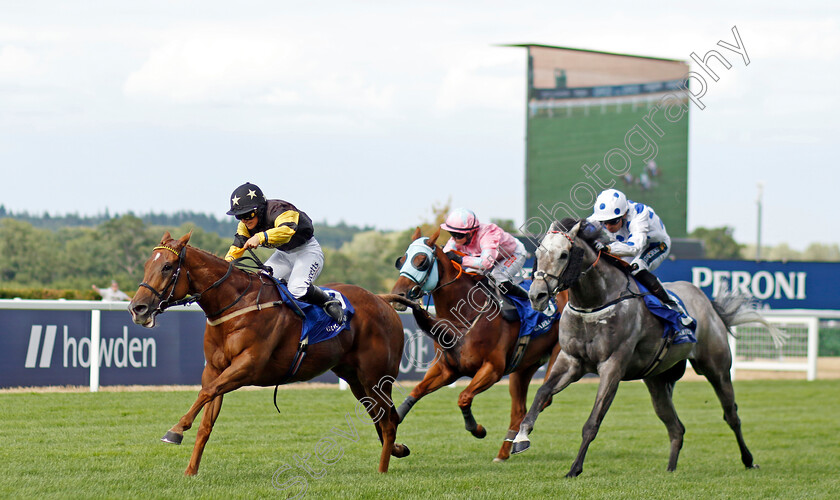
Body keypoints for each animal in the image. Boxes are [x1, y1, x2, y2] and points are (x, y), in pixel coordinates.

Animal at [127, 233, 410, 476]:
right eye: (146, 265)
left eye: (167, 266)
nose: (137, 308)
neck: (235, 305)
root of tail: (381, 300)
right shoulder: (215, 370)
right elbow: (206, 420)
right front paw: (190, 471)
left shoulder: (247, 367)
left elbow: (205, 393)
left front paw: (175, 430)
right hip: (355, 379)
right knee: (383, 417)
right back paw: (397, 450)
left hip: (376, 376)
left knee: (388, 421)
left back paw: (382, 469)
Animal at [384, 227, 568, 460]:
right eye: (401, 260)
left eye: (421, 261)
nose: (398, 294)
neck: (465, 316)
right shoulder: (446, 369)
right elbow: (415, 392)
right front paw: (395, 432)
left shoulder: (492, 368)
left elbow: (463, 397)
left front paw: (477, 429)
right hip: (524, 365)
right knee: (518, 409)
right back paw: (506, 450)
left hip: (557, 356)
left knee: (543, 399)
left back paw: (519, 440)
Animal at [512, 219, 788, 476]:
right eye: (537, 255)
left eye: (563, 255)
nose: (536, 295)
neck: (596, 302)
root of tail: (707, 302)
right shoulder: (571, 361)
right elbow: (541, 394)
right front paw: (520, 438)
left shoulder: (612, 366)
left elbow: (592, 422)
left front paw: (574, 468)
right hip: (657, 381)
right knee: (676, 427)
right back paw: (670, 469)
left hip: (716, 368)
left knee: (731, 415)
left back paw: (748, 460)